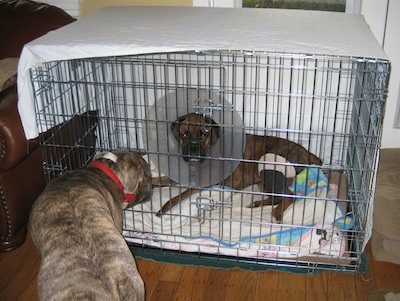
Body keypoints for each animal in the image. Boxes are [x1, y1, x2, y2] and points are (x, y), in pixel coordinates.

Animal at [155, 111, 324, 219]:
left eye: (203, 135)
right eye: (184, 134)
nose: (193, 149)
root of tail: (307, 152)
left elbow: (177, 196)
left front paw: (164, 208)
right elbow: (162, 180)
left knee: (289, 196)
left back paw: (276, 213)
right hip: (262, 181)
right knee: (277, 197)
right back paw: (257, 204)